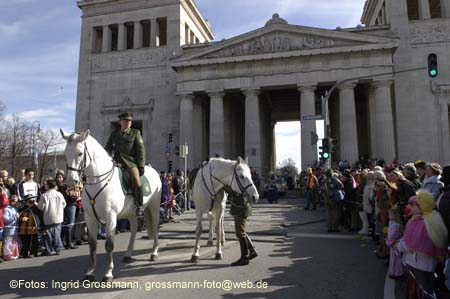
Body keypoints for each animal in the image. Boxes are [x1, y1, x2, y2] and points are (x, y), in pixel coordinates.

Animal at [59, 130, 162, 282]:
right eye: (65, 154)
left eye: (80, 153)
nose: (71, 181)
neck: (97, 183)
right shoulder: (90, 218)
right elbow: (93, 245)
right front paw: (90, 272)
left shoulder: (111, 217)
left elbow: (109, 245)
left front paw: (108, 274)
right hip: (131, 212)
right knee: (133, 229)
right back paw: (128, 254)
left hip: (154, 207)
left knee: (155, 228)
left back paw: (154, 253)